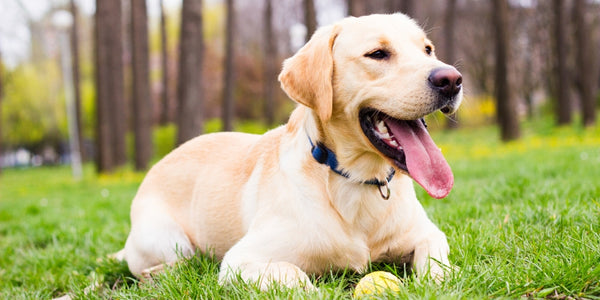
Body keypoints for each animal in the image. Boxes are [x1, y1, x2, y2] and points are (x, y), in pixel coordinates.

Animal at [117, 13, 464, 290]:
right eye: (377, 54)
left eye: (428, 49)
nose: (451, 79)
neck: (355, 180)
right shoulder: (241, 261)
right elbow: (295, 275)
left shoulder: (427, 233)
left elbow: (437, 261)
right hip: (168, 240)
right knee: (175, 262)